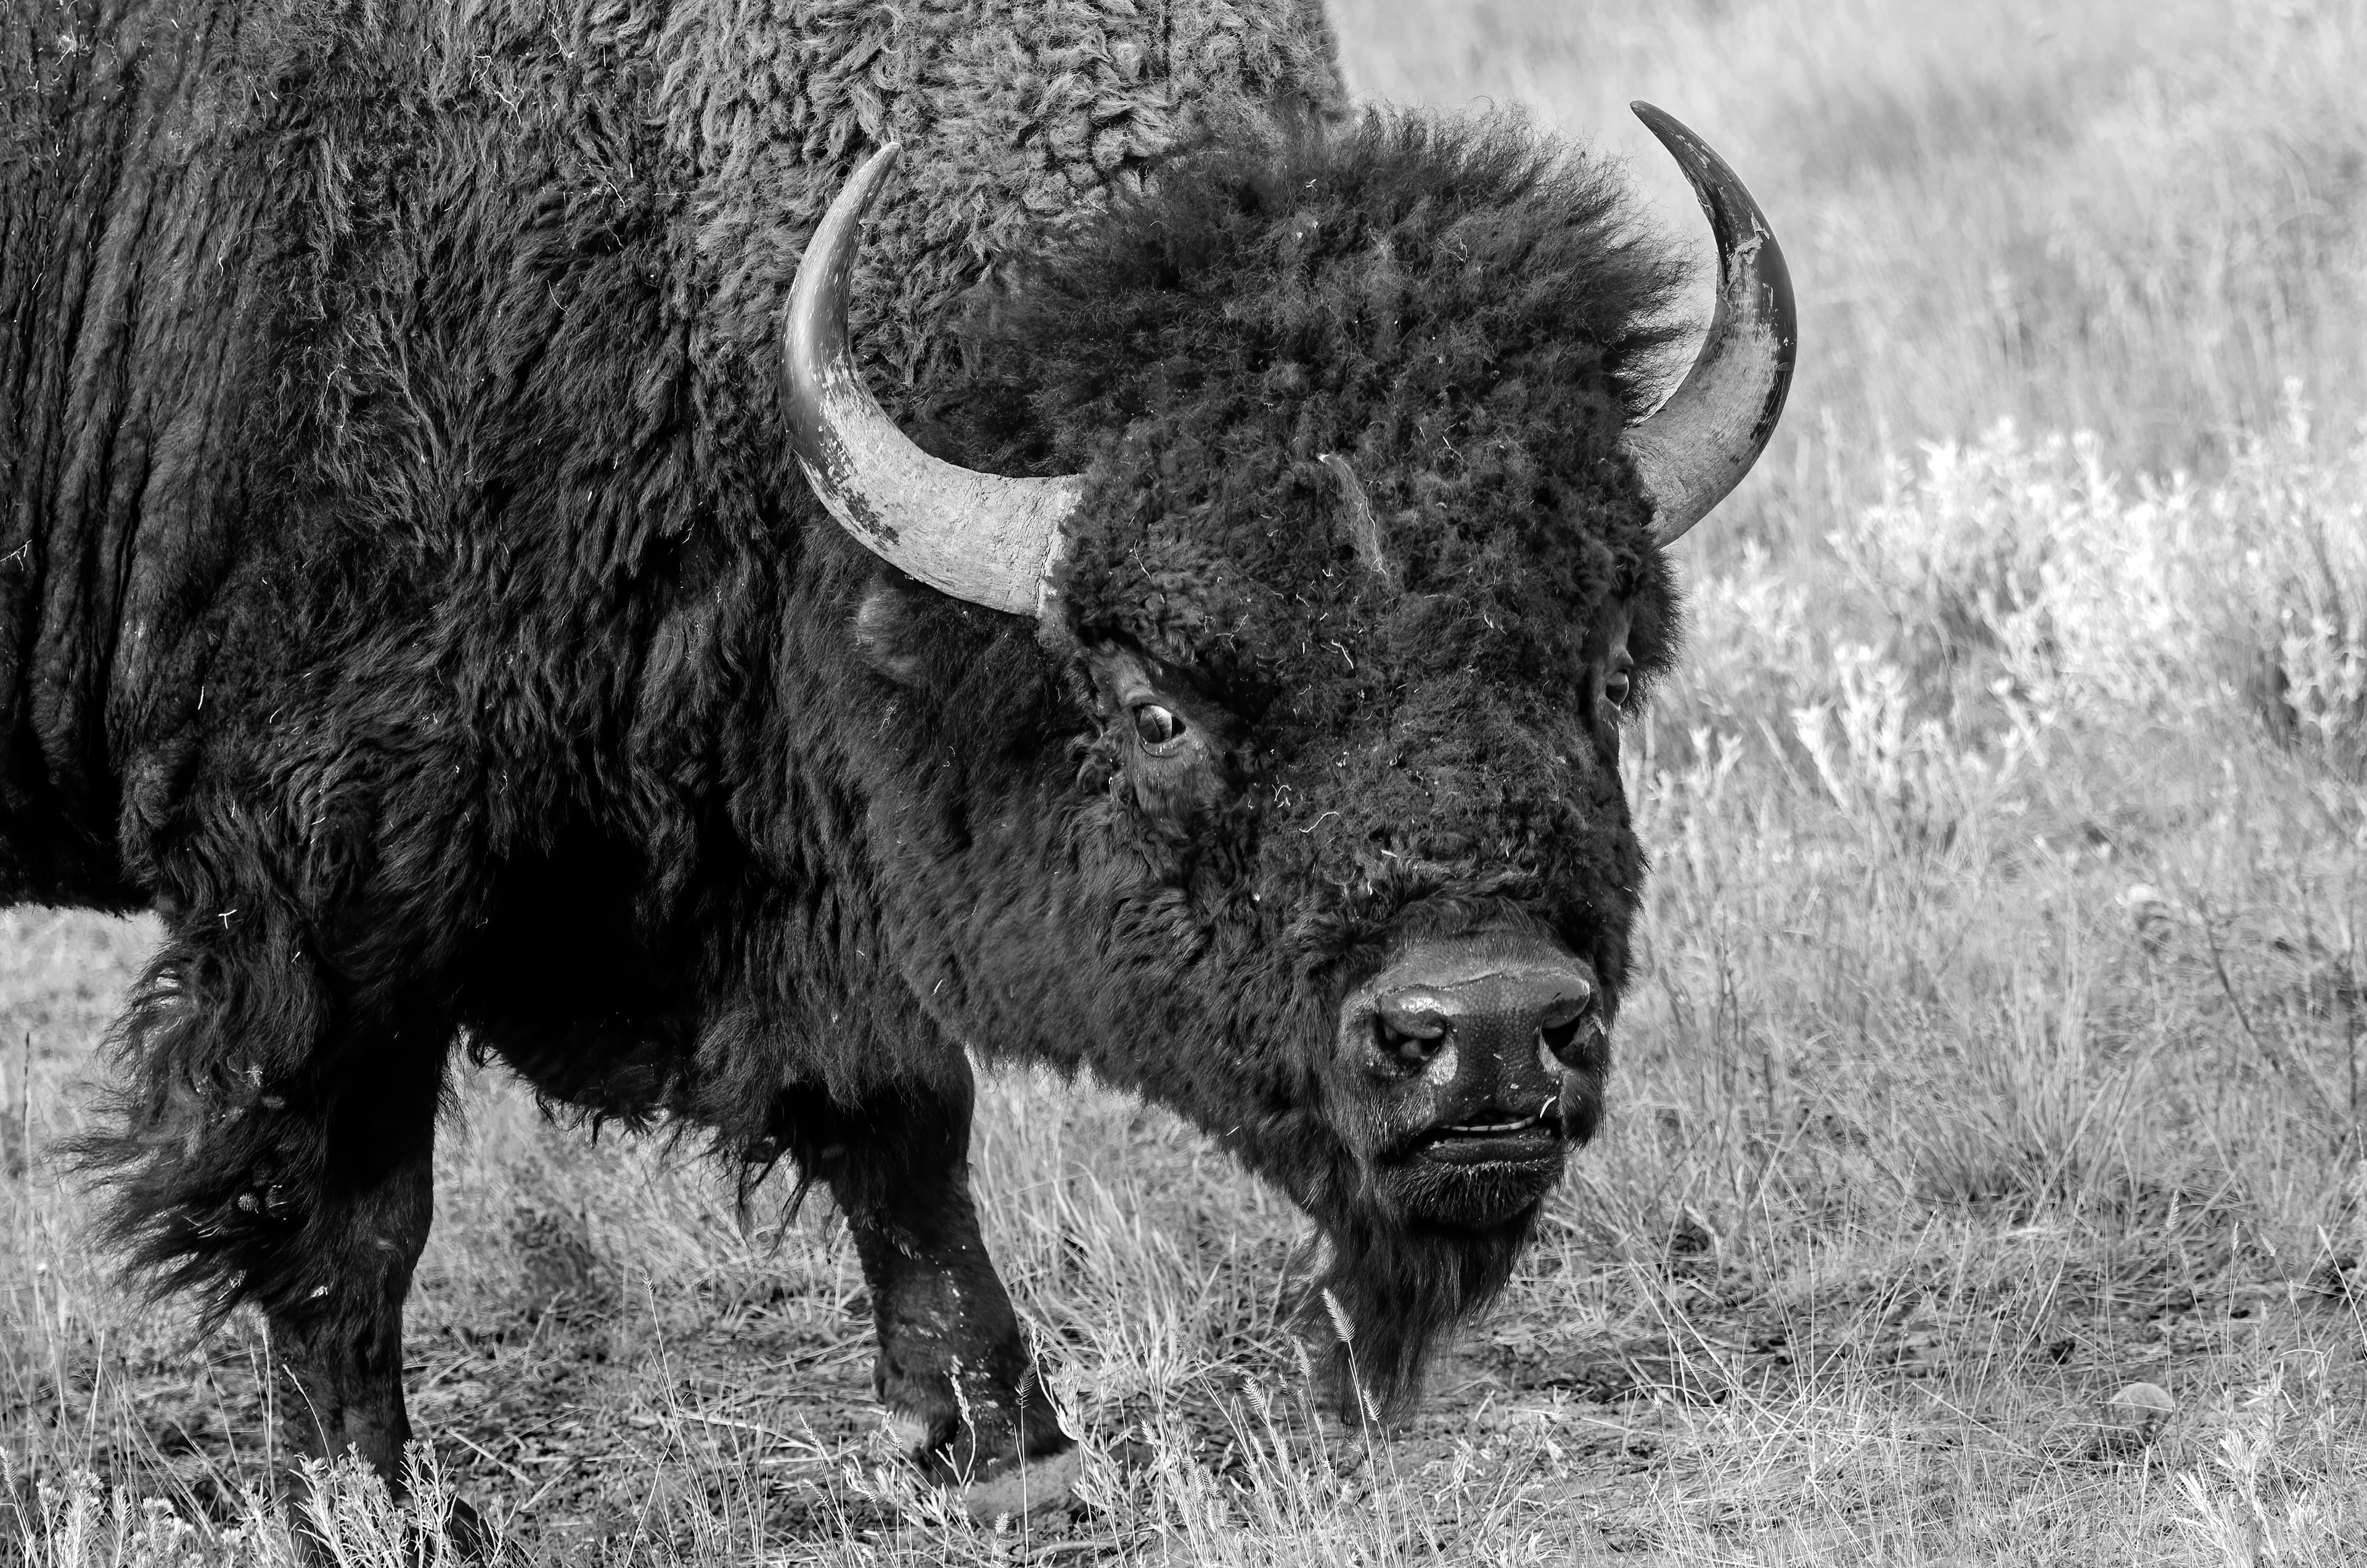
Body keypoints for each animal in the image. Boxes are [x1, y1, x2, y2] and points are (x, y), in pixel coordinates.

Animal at [2, 0, 1792, 1524]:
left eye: (1603, 665)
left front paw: (1005, 1448)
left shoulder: (804, 857)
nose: (1486, 1033)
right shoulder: (333, 868)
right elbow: (345, 1208)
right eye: (1151, 702)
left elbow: (897, 1109)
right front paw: (370, 1503)